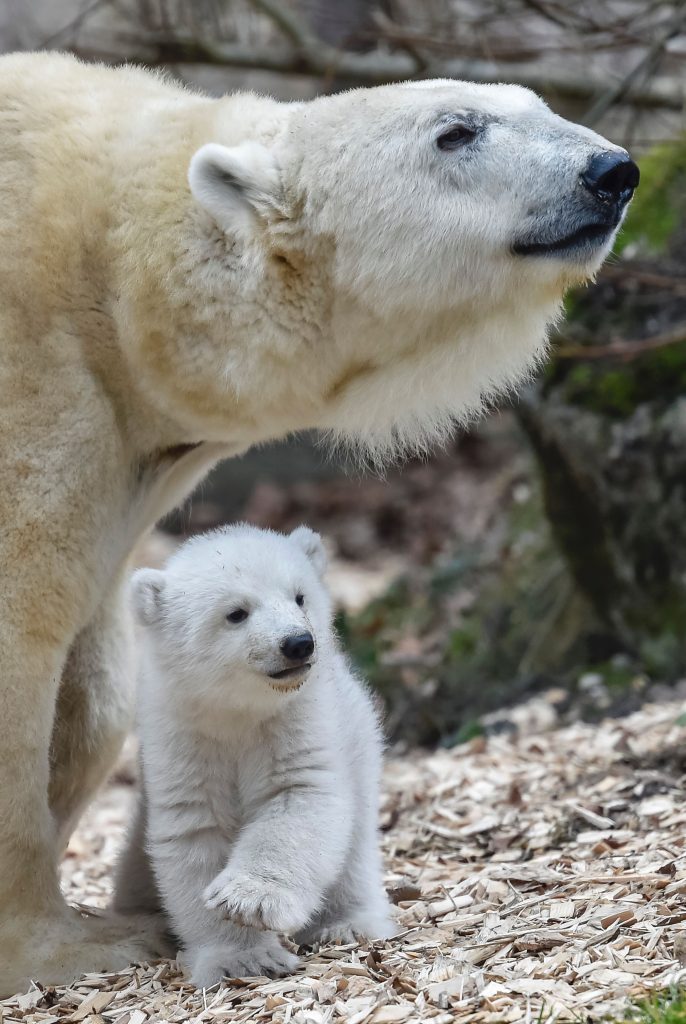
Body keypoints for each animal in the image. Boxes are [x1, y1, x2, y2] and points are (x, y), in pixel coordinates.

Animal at [0, 49, 638, 991]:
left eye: (537, 103)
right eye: (457, 131)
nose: (612, 172)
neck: (117, 278)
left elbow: (97, 688)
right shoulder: (41, 387)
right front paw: (77, 944)